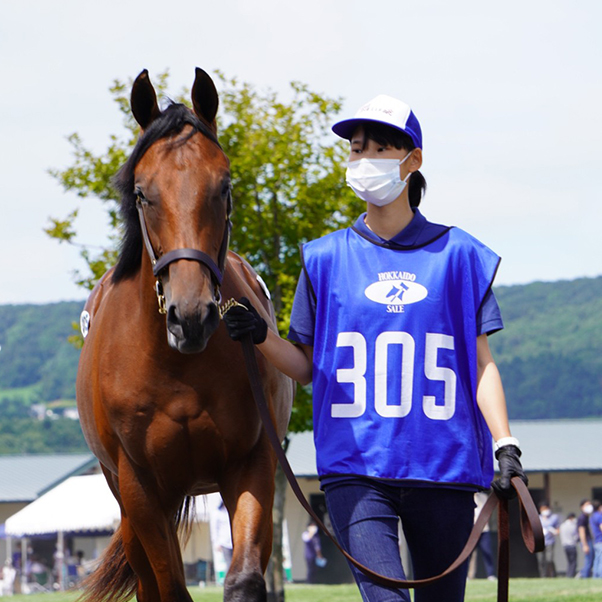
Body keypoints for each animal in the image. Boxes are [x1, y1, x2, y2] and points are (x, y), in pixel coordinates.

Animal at [76, 70, 292, 600]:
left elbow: (244, 579)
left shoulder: (253, 463)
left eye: (224, 186)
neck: (177, 366)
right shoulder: (141, 488)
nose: (190, 316)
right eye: (141, 192)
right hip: (128, 503)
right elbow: (171, 587)